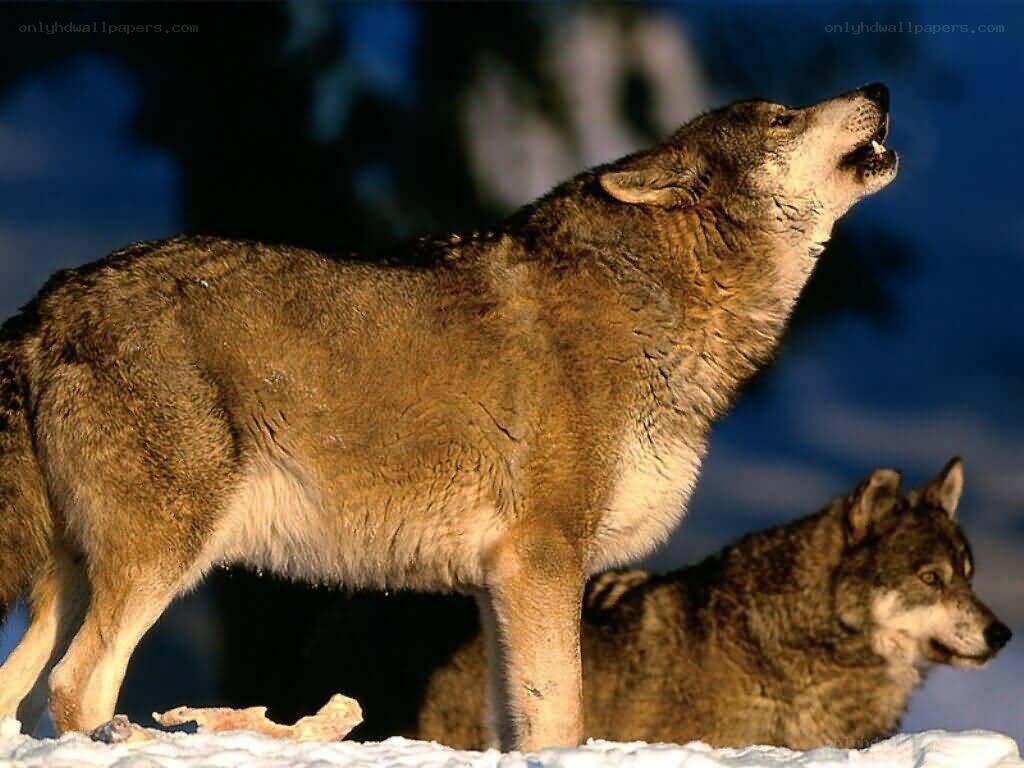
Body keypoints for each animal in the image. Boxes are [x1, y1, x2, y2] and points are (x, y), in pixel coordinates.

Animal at [0, 85, 896, 749]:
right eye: (782, 117)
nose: (879, 91)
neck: (662, 304)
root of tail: (47, 305)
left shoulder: (499, 583)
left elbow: (516, 721)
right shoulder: (545, 557)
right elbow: (562, 716)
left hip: (73, 577)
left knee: (21, 688)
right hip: (162, 560)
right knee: (75, 687)